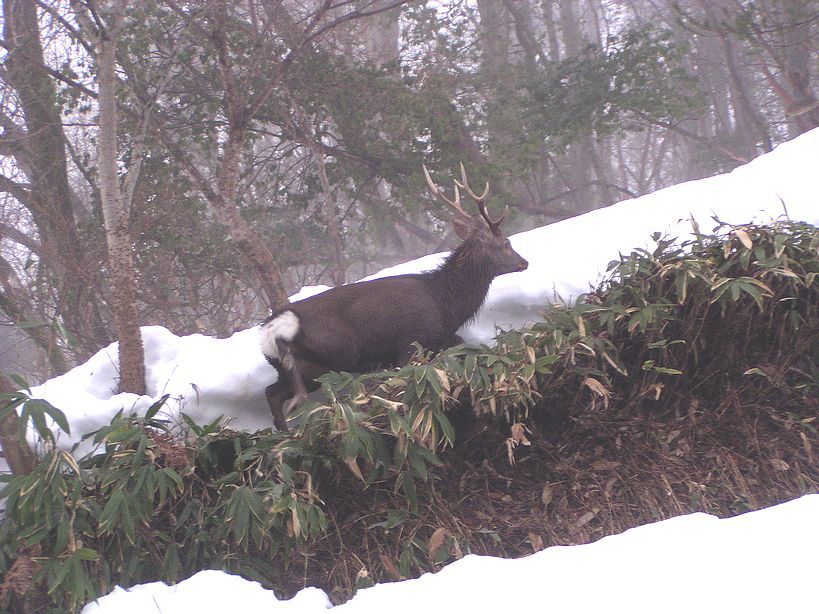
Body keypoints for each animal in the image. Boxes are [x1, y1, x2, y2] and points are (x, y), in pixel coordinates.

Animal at [260, 165, 528, 434]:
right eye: (505, 243)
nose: (524, 262)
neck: (445, 303)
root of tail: (272, 329)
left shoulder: (438, 341)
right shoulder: (411, 343)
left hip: (303, 367)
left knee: (272, 393)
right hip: (334, 354)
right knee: (290, 392)